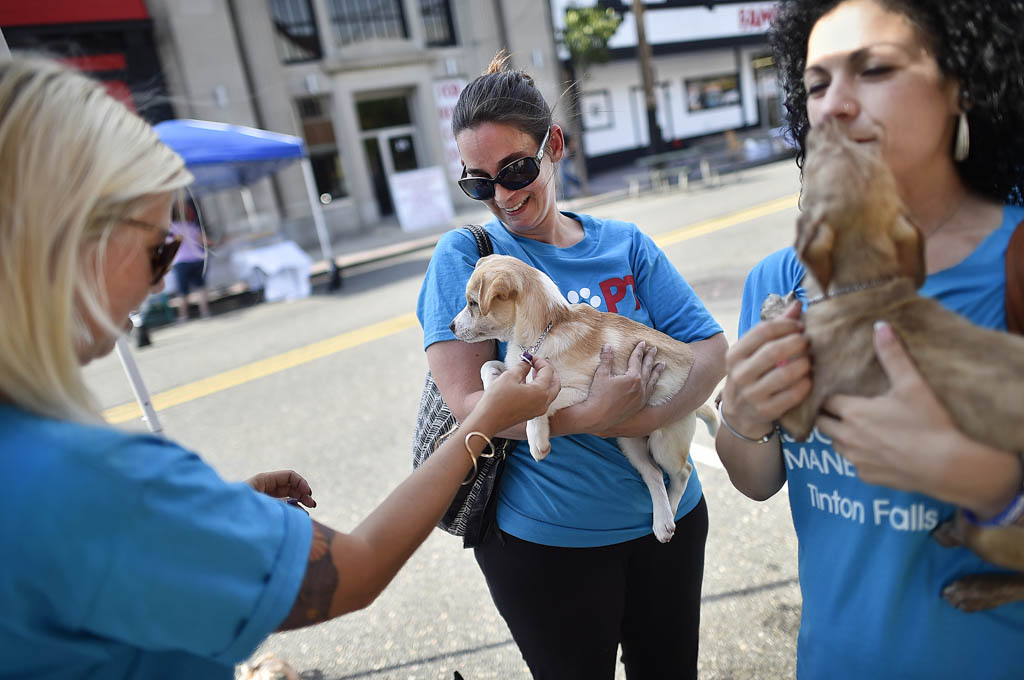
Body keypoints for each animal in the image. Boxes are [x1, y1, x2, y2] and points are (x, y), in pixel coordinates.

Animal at [452, 253, 716, 540]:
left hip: (664, 441)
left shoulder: (584, 390)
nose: (451, 326)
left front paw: (537, 439)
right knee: (654, 473)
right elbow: (487, 366)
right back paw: (663, 521)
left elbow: (542, 398)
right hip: (629, 442)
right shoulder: (515, 369)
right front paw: (493, 391)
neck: (548, 328)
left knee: (682, 471)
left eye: (473, 303)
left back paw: (672, 509)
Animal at [761, 116, 1024, 610]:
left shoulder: (802, 412)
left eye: (825, 151)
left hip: (997, 531)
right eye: (863, 151)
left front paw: (776, 308)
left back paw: (977, 587)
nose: (832, 116)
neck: (868, 288)